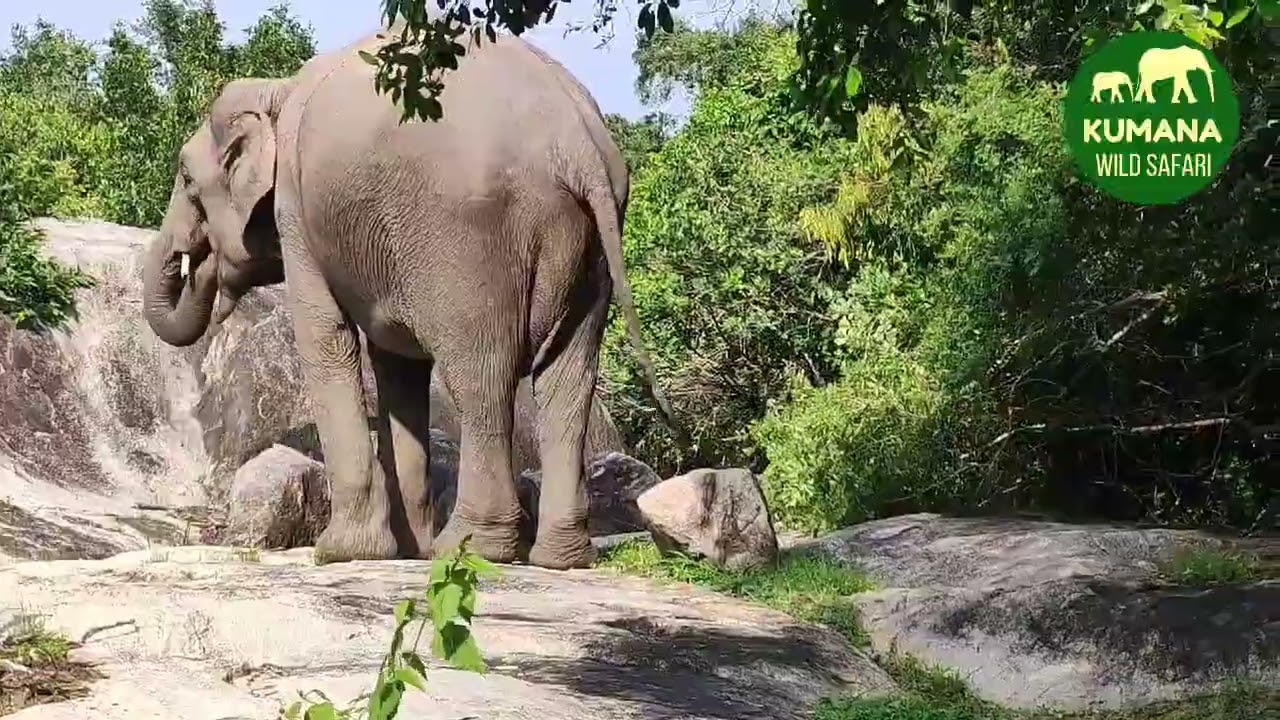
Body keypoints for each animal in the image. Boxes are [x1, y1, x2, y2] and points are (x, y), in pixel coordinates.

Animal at [141, 25, 677, 570]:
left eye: (187, 179)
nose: (196, 265)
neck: (278, 89)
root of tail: (578, 143)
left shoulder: (297, 209)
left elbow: (327, 338)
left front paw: (342, 552)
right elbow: (397, 365)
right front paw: (403, 552)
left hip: (474, 239)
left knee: (481, 378)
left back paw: (469, 548)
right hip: (591, 250)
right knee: (567, 381)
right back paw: (559, 557)